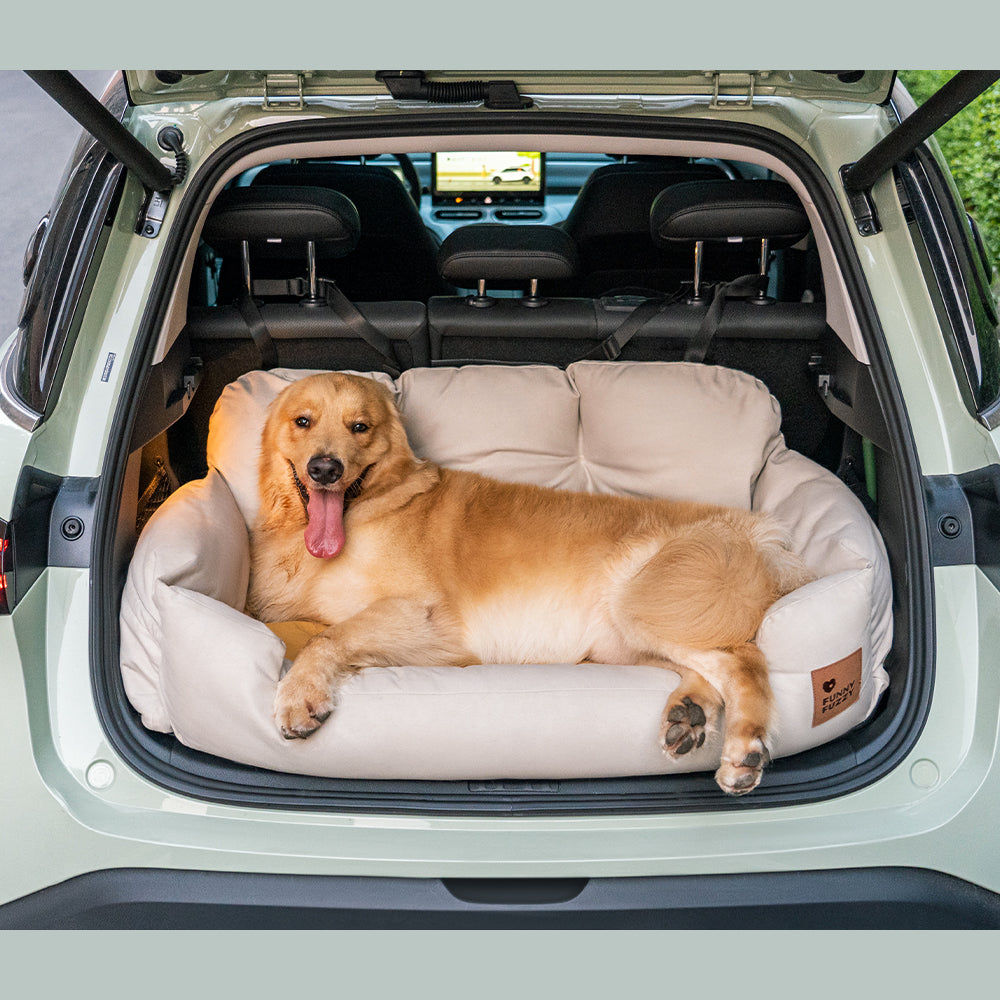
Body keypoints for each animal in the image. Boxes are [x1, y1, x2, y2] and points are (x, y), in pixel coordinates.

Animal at [248, 372, 812, 792]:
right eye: (303, 421)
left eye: (360, 426)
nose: (325, 469)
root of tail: (758, 533)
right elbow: (307, 629)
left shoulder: (423, 619)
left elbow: (328, 636)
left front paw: (298, 693)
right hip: (623, 637)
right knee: (713, 661)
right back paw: (689, 714)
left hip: (642, 600)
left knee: (744, 658)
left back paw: (745, 748)